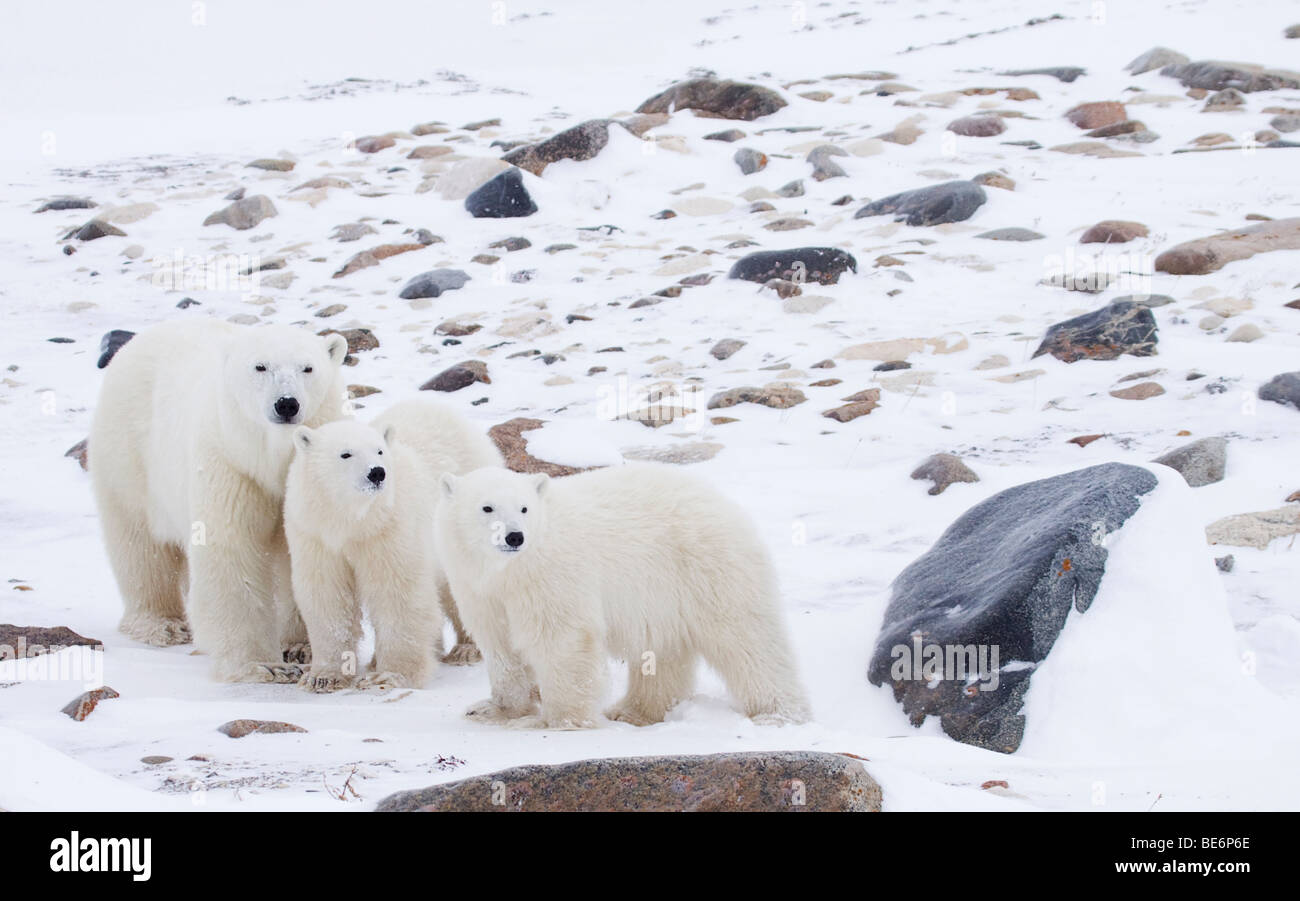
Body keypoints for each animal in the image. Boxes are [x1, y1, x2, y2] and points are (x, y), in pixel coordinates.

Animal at [88, 319, 349, 682]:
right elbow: (232, 547)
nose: (286, 403)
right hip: (129, 455)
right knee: (139, 544)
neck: (267, 457)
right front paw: (260, 664)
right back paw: (161, 624)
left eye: (308, 368)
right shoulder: (229, 462)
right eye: (260, 366)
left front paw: (301, 647)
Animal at [285, 398, 505, 692]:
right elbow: (328, 595)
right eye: (346, 454)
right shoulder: (315, 533)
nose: (377, 473)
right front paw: (323, 676)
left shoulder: (389, 528)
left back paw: (467, 649)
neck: (353, 521)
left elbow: (397, 590)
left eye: (379, 450)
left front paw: (390, 675)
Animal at [434, 463, 812, 729]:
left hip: (708, 569)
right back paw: (634, 711)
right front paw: (492, 710)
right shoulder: (480, 590)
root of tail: (728, 504)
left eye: (524, 508)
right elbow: (499, 646)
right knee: (663, 651)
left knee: (748, 640)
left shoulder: (553, 577)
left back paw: (777, 713)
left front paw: (558, 720)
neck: (510, 570)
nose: (515, 537)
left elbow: (563, 639)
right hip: (666, 594)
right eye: (487, 508)